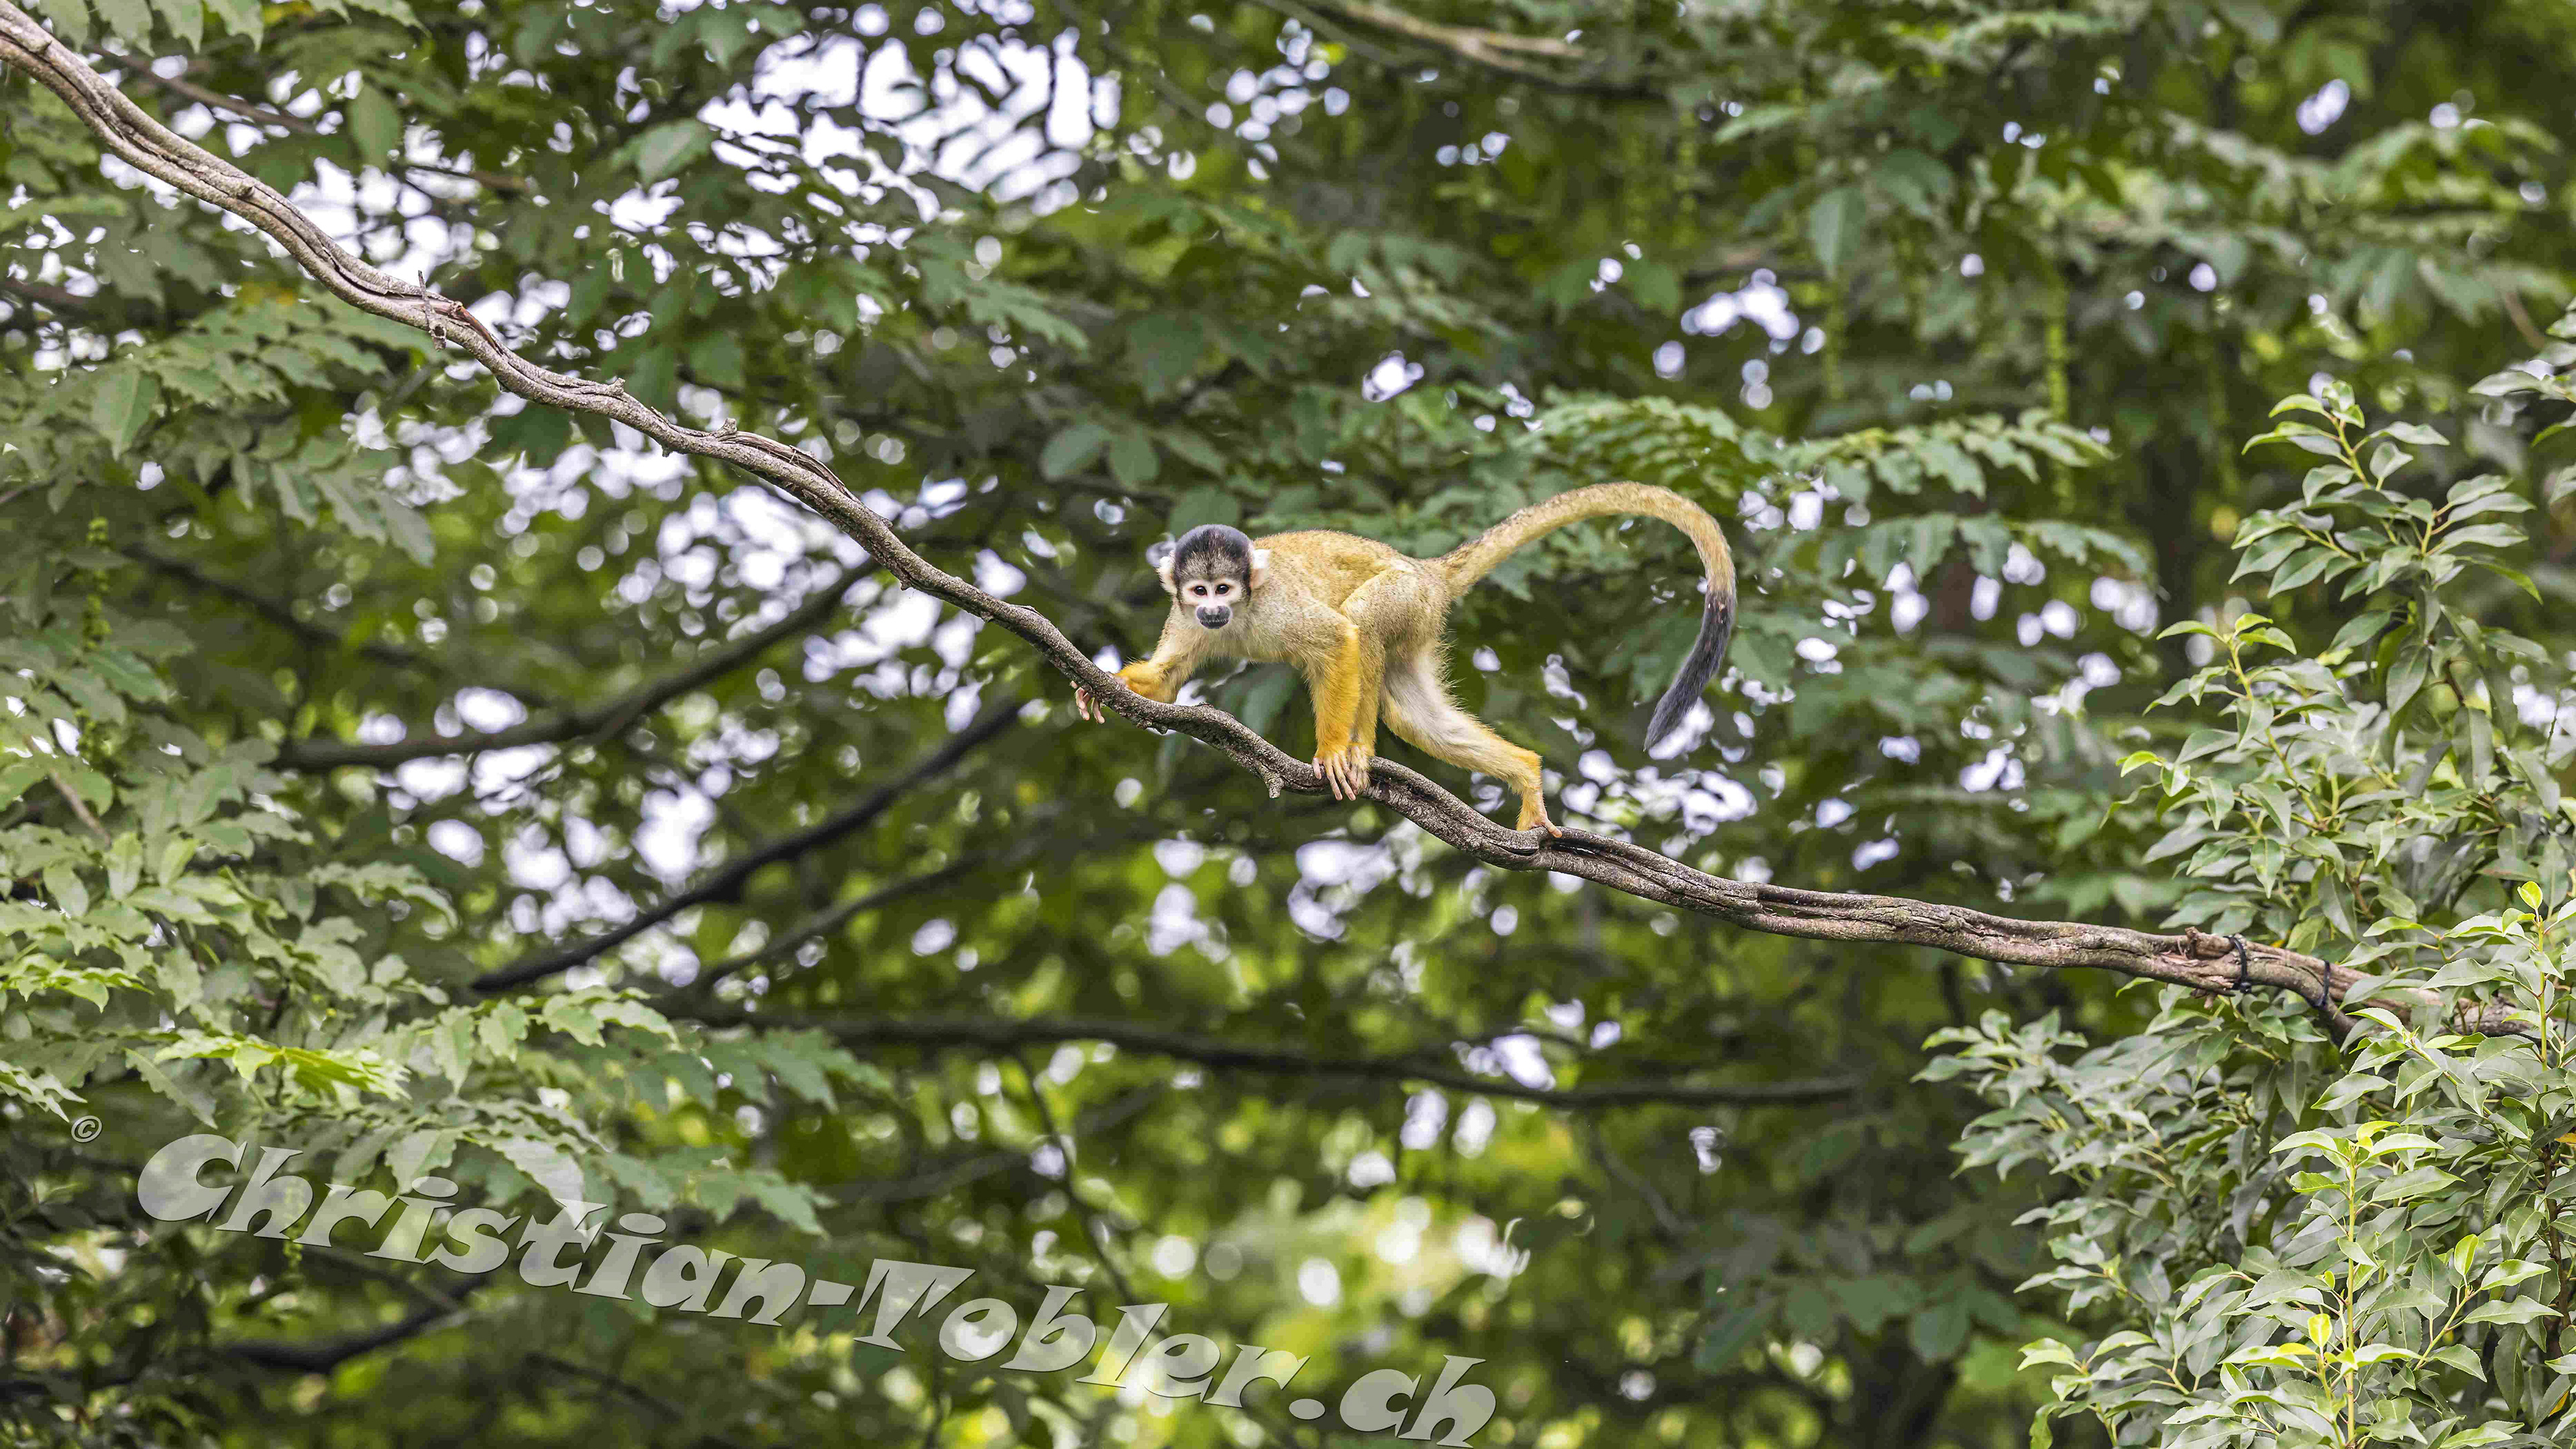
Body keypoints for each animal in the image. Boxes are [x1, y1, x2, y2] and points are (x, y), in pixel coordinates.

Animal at [1071, 482, 1735, 836]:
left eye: (1225, 588)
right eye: (1199, 590)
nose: (1212, 609)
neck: (1244, 612)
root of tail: (1427, 569)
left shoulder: (1280, 605)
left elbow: (1339, 638)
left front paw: (1332, 752)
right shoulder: (1182, 618)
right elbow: (1165, 682)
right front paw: (1105, 684)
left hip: (1405, 597)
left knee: (1364, 623)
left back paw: (1359, 751)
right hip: (1420, 625)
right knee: (1414, 715)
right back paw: (1525, 772)